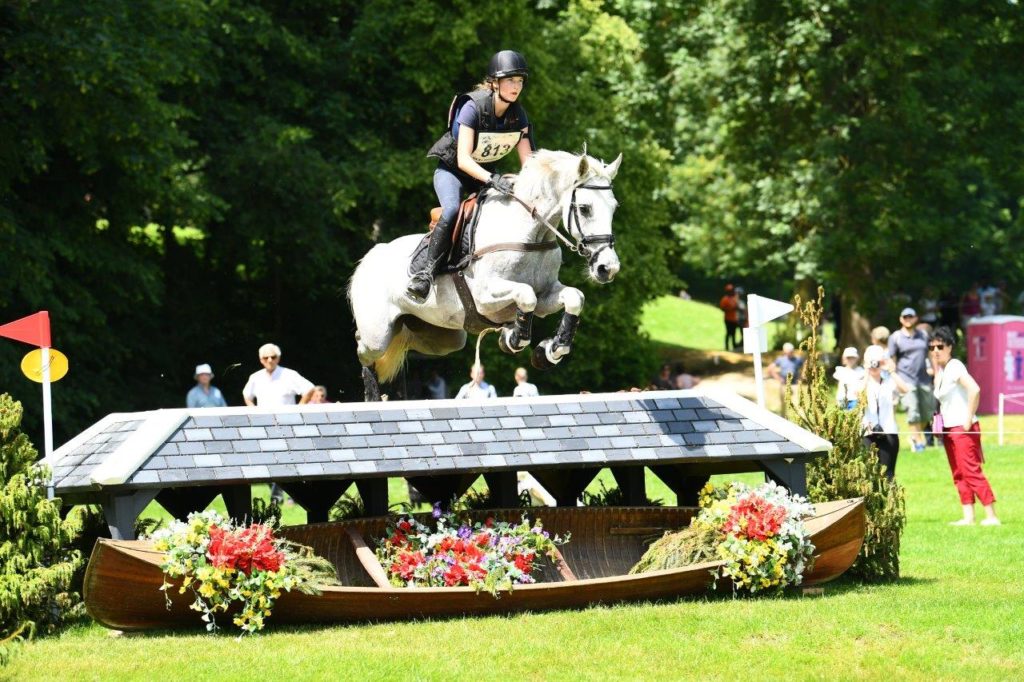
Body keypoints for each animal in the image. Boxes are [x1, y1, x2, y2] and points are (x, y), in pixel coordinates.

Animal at [352, 146, 618, 395]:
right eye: (584, 208)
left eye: (614, 208)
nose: (608, 268)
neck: (531, 233)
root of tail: (368, 259)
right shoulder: (484, 297)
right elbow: (526, 295)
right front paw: (513, 339)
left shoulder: (546, 295)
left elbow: (574, 297)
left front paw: (549, 351)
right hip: (377, 334)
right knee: (364, 350)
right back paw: (372, 392)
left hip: (440, 337)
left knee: (404, 346)